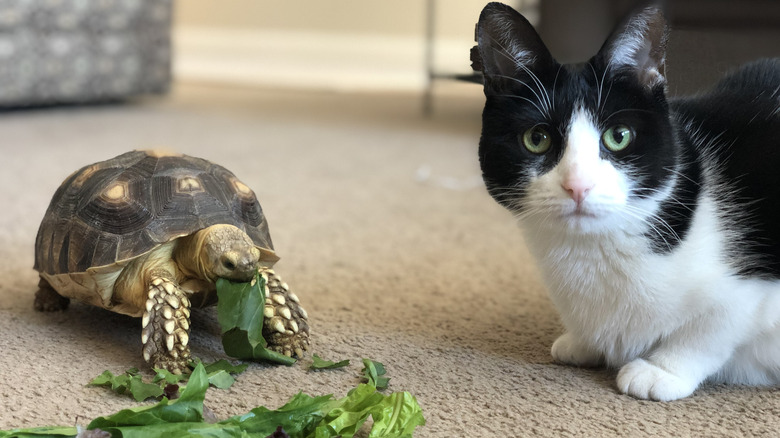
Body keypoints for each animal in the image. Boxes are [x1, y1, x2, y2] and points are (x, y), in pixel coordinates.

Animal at [472, 2, 780, 400]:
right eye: (536, 138)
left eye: (618, 136)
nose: (578, 186)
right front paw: (583, 342)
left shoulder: (750, 293)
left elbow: (713, 327)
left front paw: (661, 369)